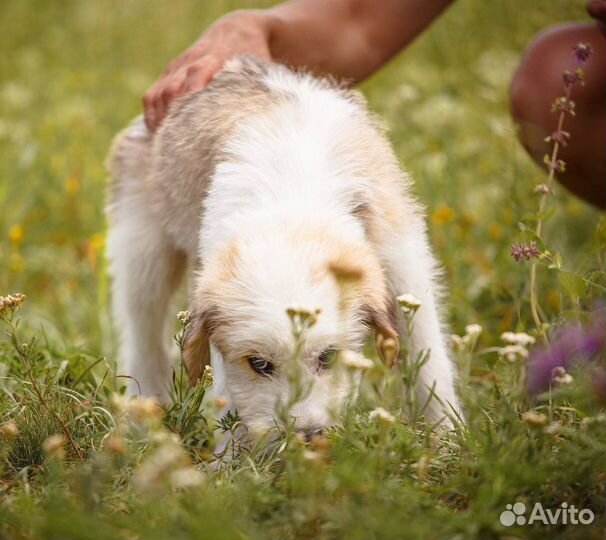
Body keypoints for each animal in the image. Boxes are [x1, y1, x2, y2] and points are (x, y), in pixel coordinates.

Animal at [108, 56, 460, 434]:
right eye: (259, 364)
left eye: (328, 356)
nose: (306, 436)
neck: (295, 199)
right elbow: (229, 397)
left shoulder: (405, 267)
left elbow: (429, 361)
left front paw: (447, 438)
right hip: (142, 257)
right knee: (142, 342)